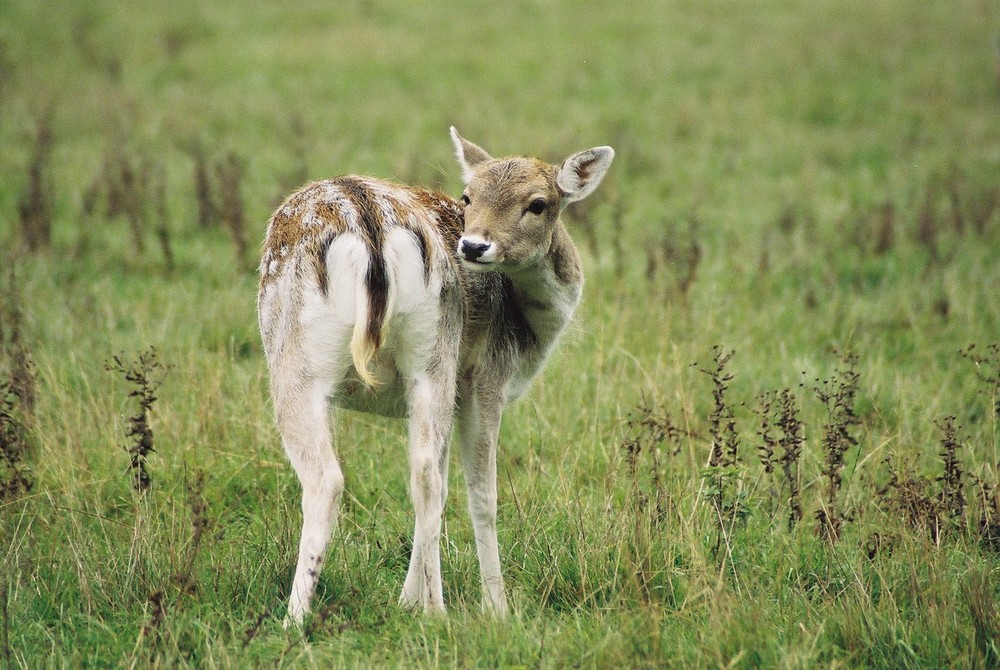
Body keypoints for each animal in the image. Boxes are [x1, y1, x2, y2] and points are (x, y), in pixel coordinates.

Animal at [256, 127, 616, 624]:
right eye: (468, 196)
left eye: (538, 203)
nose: (474, 246)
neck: (530, 334)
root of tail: (369, 224)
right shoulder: (483, 379)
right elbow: (470, 490)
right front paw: (485, 607)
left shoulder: (471, 382)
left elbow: (460, 489)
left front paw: (437, 602)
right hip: (405, 361)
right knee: (394, 476)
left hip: (348, 362)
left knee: (371, 476)